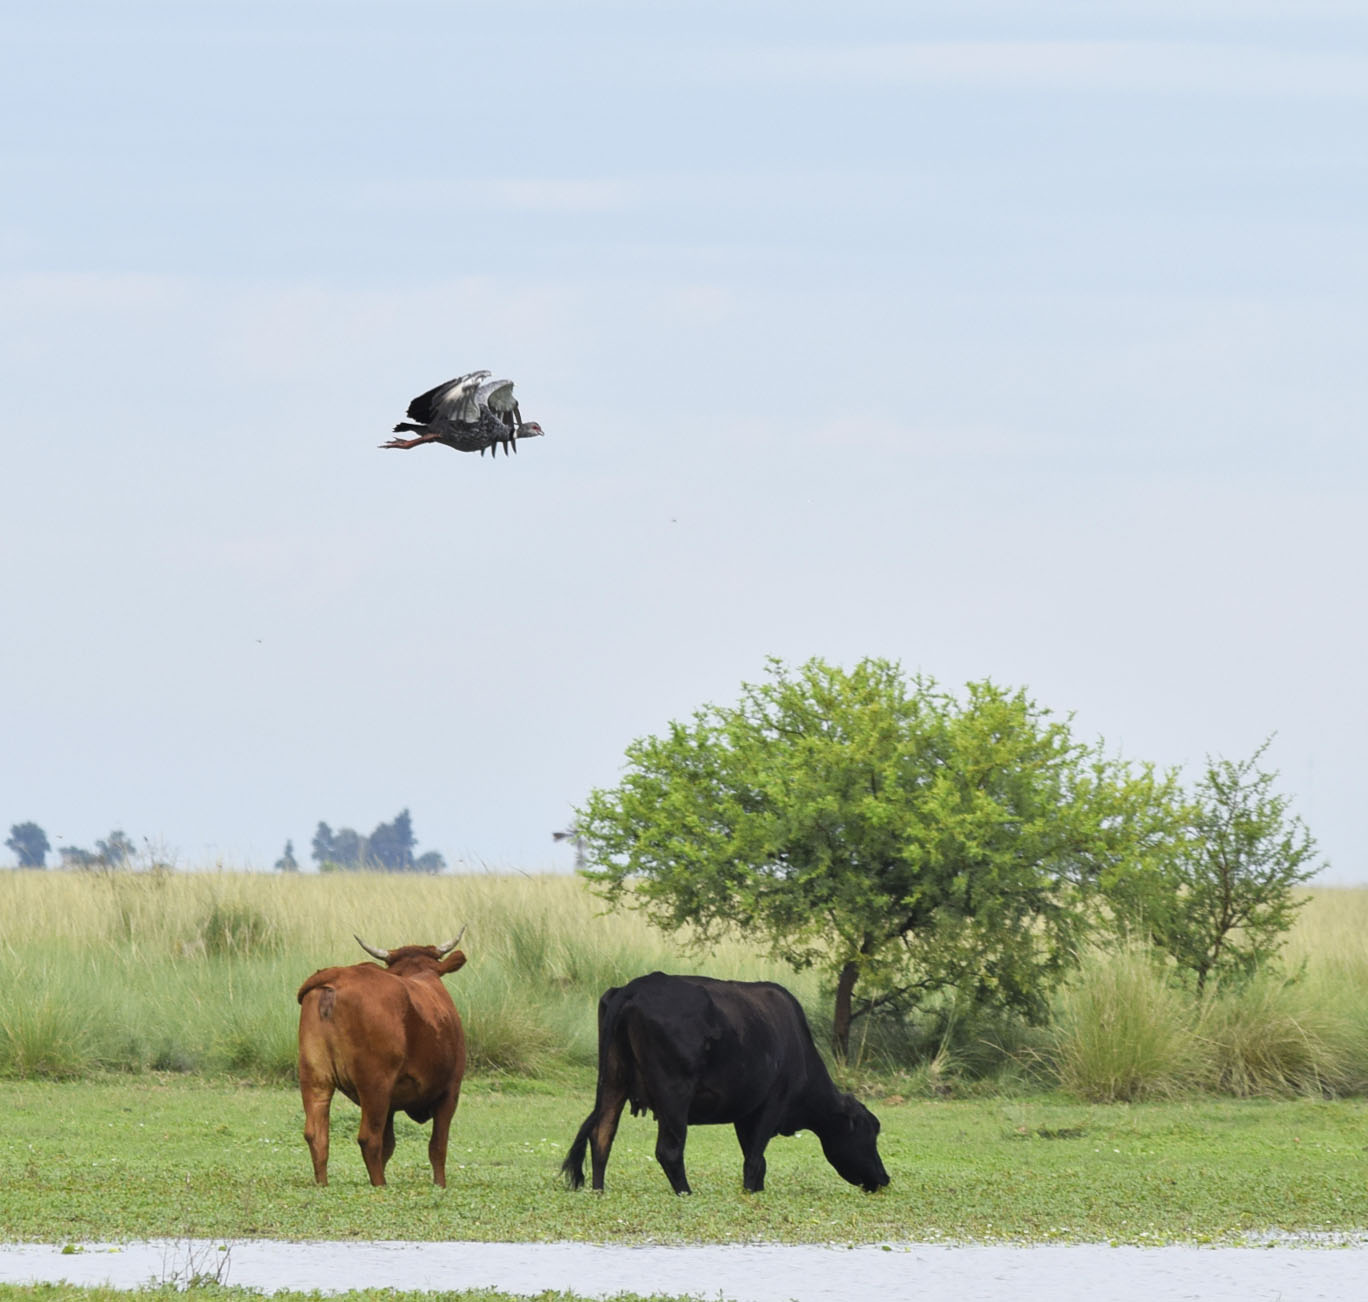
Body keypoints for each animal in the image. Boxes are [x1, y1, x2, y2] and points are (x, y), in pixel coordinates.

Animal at [296, 930, 468, 1187]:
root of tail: (339, 974)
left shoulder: (391, 1104)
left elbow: (389, 1146)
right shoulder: (450, 1091)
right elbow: (437, 1146)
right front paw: (440, 1185)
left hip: (315, 1079)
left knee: (317, 1135)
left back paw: (323, 1185)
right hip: (374, 1085)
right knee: (369, 1139)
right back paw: (380, 1185)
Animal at [562, 972, 889, 1195]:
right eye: (870, 1132)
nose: (884, 1178)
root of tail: (633, 988)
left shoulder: (745, 1114)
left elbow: (755, 1160)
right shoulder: (771, 1104)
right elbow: (755, 1160)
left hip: (612, 1080)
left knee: (601, 1135)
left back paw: (599, 1190)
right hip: (674, 1095)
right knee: (669, 1150)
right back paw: (686, 1192)